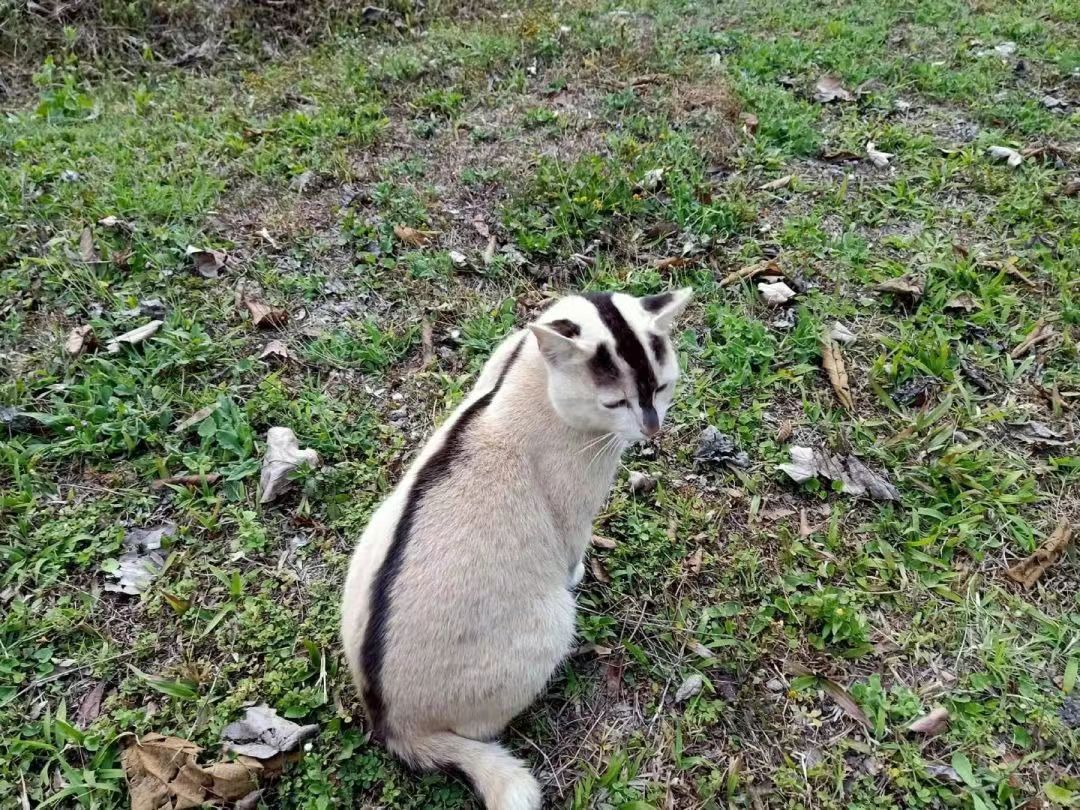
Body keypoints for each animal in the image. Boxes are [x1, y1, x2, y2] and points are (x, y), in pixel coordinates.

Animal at [339, 289, 691, 807]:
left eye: (662, 387)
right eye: (615, 401)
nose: (652, 430)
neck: (529, 368)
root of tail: (393, 727)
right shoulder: (574, 513)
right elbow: (572, 550)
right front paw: (578, 572)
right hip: (552, 625)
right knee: (480, 730)